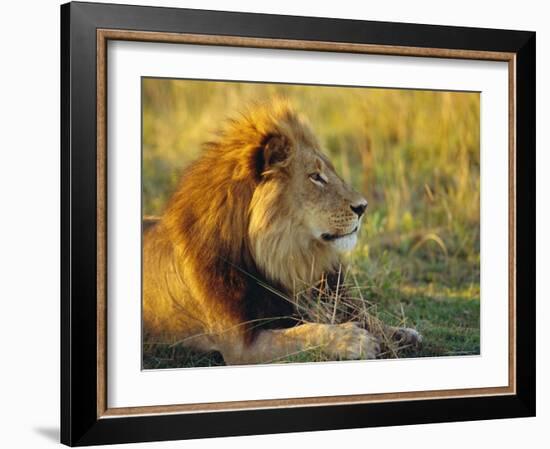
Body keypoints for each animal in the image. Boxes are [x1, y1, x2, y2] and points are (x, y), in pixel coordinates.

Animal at [143, 100, 422, 364]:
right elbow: (301, 333)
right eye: (316, 177)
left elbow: (365, 318)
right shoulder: (239, 346)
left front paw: (401, 333)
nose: (363, 207)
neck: (282, 257)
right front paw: (353, 339)